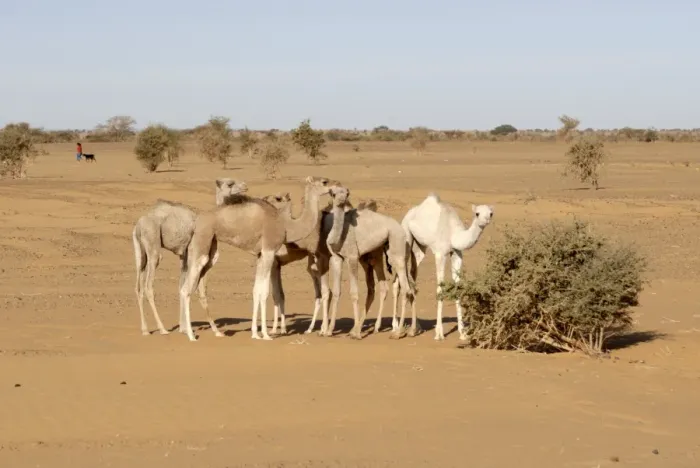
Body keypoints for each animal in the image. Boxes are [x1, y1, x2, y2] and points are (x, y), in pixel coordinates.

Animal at [132, 178, 248, 336]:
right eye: (230, 183)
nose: (245, 186)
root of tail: (138, 225)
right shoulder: (195, 252)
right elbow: (196, 288)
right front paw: (192, 329)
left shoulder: (184, 255)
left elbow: (181, 285)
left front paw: (183, 328)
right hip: (153, 244)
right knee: (149, 285)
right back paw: (162, 329)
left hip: (139, 251)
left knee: (138, 285)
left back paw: (145, 330)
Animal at [178, 176, 338, 342]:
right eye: (324, 182)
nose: (336, 185)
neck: (287, 226)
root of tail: (196, 220)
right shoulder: (269, 251)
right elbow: (266, 292)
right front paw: (266, 334)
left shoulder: (262, 255)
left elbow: (257, 290)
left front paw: (256, 333)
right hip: (202, 241)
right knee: (185, 289)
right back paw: (191, 335)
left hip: (211, 248)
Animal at [320, 188, 415, 339]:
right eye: (333, 193)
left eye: (346, 194)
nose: (341, 200)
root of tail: (401, 228)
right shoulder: (336, 258)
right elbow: (336, 291)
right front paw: (329, 331)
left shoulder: (352, 257)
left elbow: (354, 292)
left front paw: (356, 333)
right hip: (386, 254)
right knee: (405, 287)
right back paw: (408, 330)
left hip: (396, 246)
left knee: (405, 288)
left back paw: (397, 332)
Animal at [392, 193, 494, 340]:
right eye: (477, 213)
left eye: (491, 213)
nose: (485, 220)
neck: (453, 234)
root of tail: (410, 212)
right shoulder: (440, 254)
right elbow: (440, 289)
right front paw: (439, 333)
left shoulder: (457, 253)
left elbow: (457, 288)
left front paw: (463, 333)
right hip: (406, 235)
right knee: (398, 279)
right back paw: (395, 328)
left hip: (420, 247)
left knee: (413, 275)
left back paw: (415, 328)